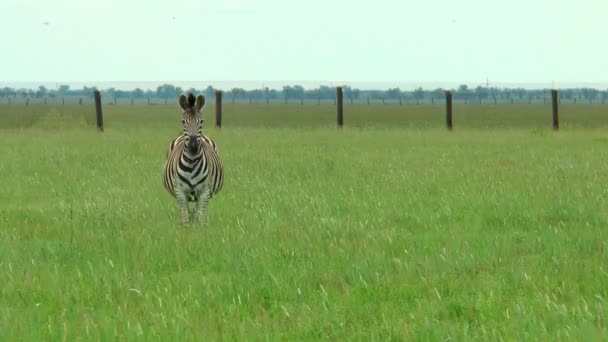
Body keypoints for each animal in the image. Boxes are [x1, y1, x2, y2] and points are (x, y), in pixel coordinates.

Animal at [163, 93, 224, 224]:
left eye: (201, 121)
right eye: (183, 122)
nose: (193, 147)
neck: (191, 163)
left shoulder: (205, 192)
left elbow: (200, 219)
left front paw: (199, 228)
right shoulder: (180, 192)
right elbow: (185, 220)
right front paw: (187, 228)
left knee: (197, 212)